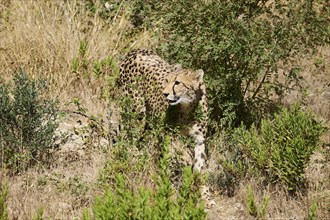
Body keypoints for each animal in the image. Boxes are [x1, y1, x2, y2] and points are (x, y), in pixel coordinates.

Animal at [118, 49, 214, 207]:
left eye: (178, 82)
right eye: (166, 80)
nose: (165, 93)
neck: (187, 108)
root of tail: (135, 51)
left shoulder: (199, 140)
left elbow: (200, 168)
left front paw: (205, 196)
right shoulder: (169, 136)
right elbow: (170, 161)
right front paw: (172, 189)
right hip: (137, 114)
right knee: (129, 139)